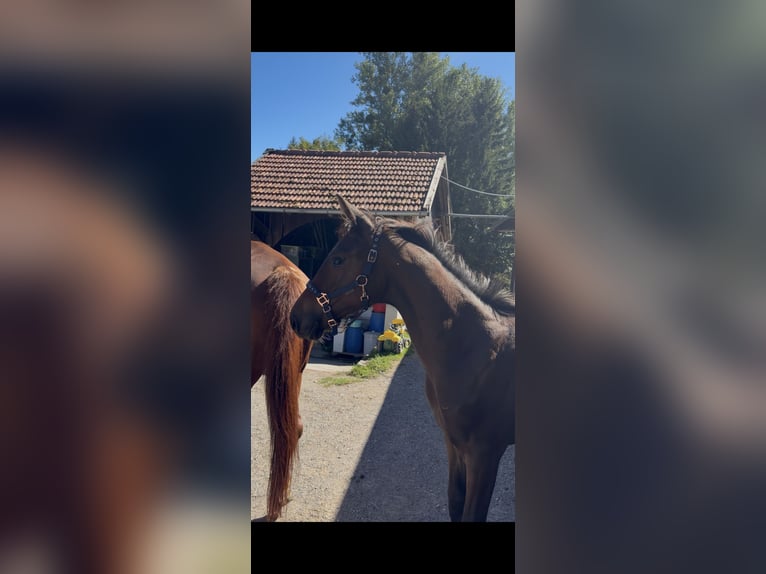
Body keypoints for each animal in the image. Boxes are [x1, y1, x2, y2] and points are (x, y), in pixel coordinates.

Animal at [289, 195, 515, 522]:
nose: (296, 317)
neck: (472, 347)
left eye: (338, 259)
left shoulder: (485, 454)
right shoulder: (455, 447)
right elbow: (455, 504)